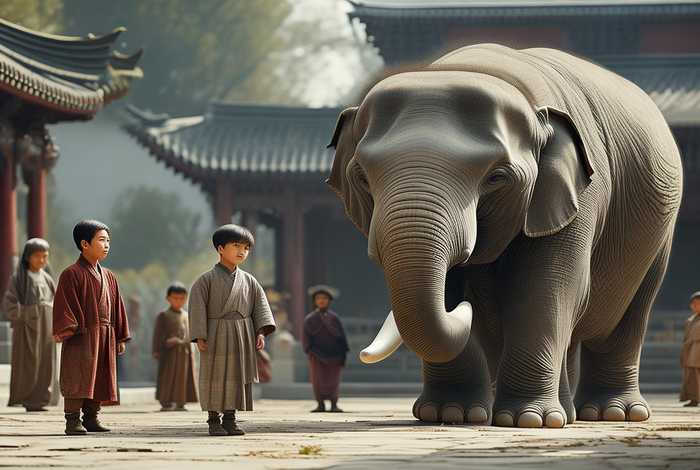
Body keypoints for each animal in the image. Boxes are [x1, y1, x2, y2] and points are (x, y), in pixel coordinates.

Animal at [326, 44, 682, 428]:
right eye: (362, 177)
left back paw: (610, 413)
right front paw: (451, 414)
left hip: (660, 236)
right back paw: (565, 413)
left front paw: (528, 420)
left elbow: (546, 285)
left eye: (497, 178)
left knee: (627, 316)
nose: (463, 307)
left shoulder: (583, 195)